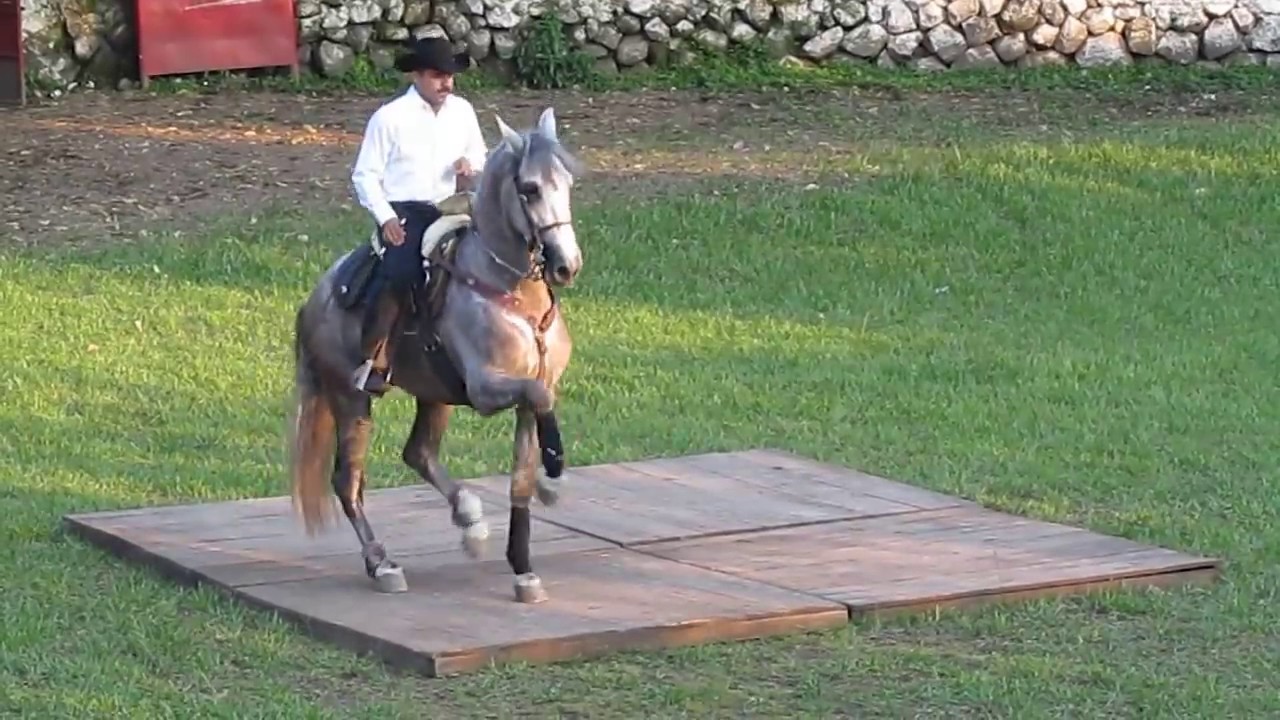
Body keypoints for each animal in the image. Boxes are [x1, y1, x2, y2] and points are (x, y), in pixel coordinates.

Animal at [286, 107, 583, 604]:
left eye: (567, 182)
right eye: (529, 189)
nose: (567, 265)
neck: (509, 291)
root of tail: (315, 298)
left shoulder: (527, 393)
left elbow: (521, 476)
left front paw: (524, 569)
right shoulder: (487, 389)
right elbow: (540, 403)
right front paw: (553, 481)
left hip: (435, 395)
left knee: (418, 453)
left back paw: (470, 520)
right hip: (351, 398)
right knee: (348, 481)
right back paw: (383, 564)